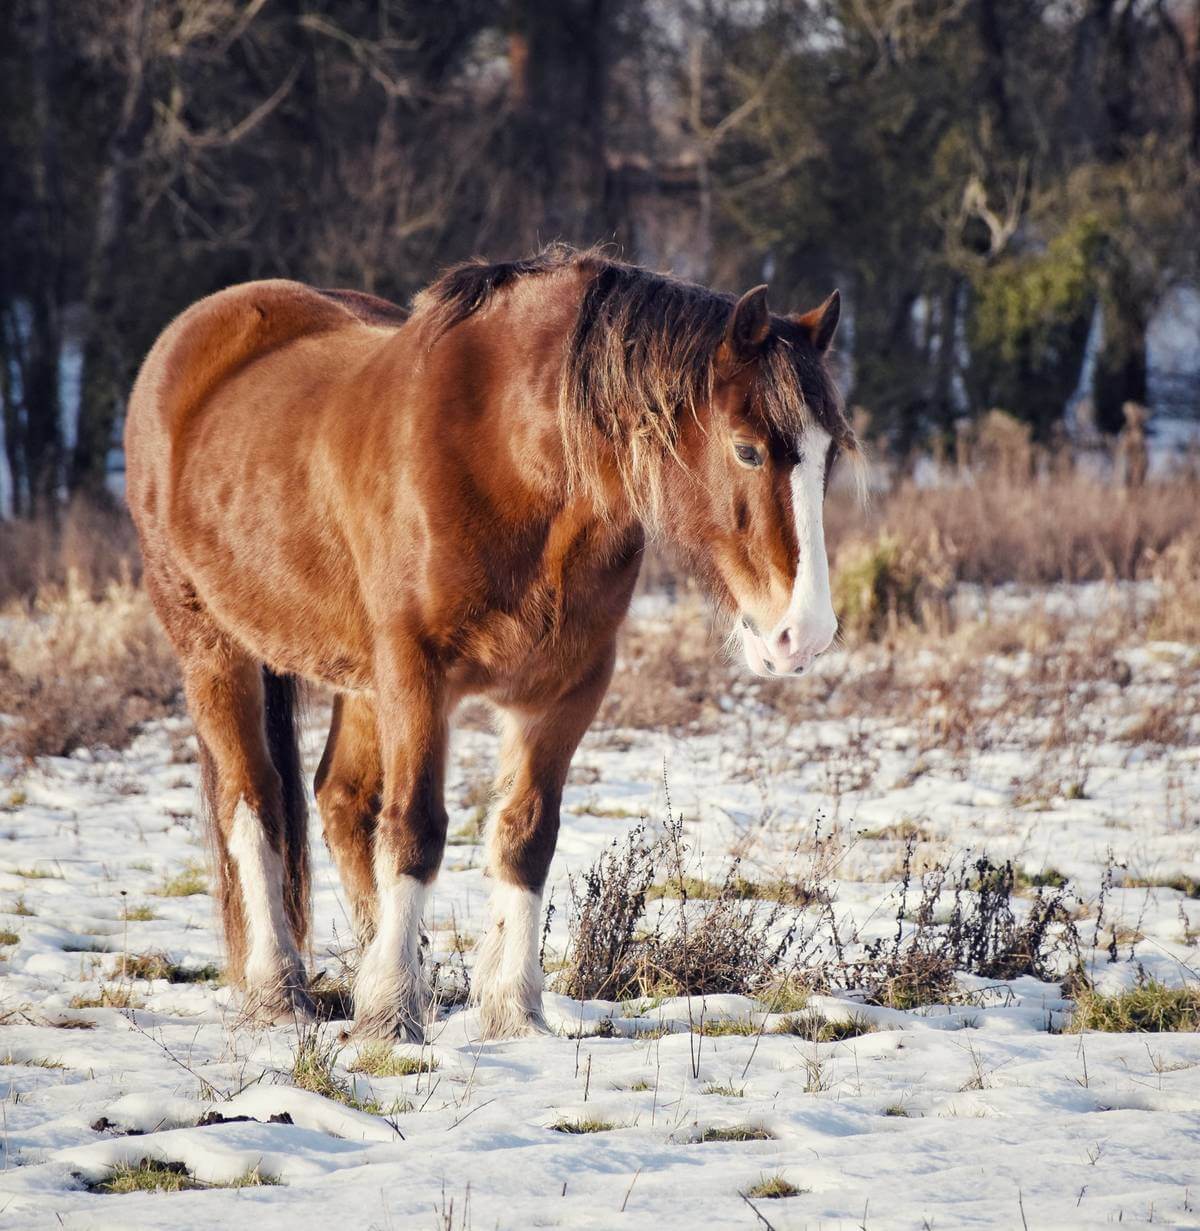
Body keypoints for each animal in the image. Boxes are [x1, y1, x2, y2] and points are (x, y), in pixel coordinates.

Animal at [124, 244, 858, 1041]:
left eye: (829, 457)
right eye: (748, 450)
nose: (803, 634)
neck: (507, 460)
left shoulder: (567, 688)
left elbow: (526, 836)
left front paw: (511, 1010)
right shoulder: (417, 674)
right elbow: (415, 830)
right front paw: (391, 1015)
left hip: (359, 679)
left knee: (343, 802)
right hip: (214, 650)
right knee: (253, 803)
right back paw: (278, 987)